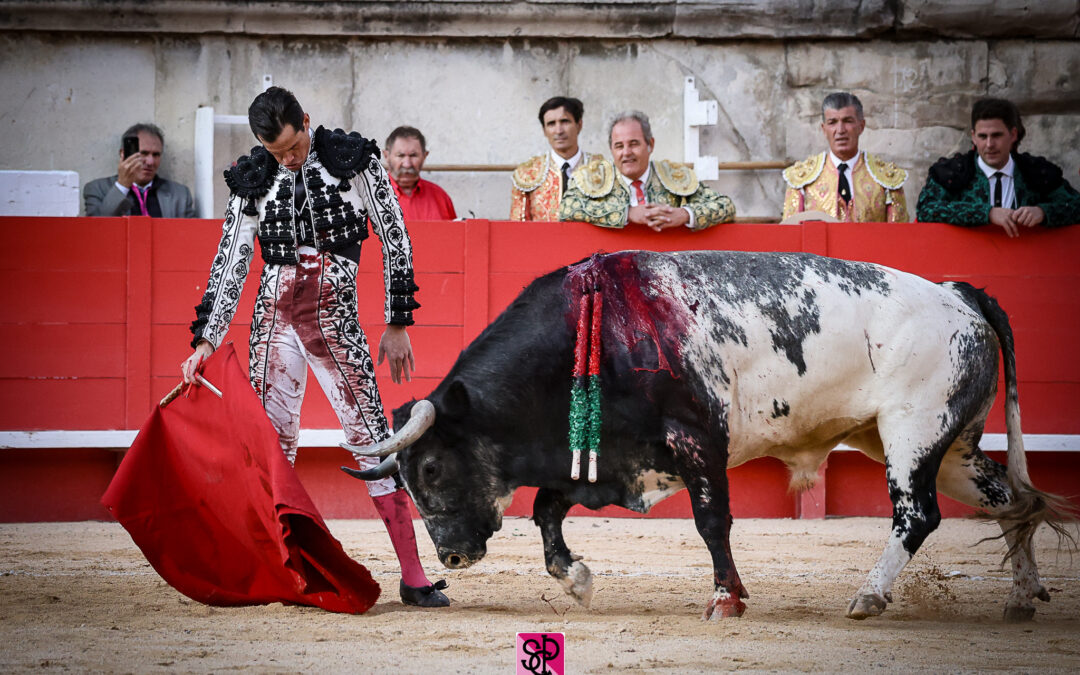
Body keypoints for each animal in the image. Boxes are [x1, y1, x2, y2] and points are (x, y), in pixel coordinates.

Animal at [341, 251, 1067, 622]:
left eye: (430, 469)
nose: (452, 557)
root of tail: (959, 294)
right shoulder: (608, 452)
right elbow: (547, 509)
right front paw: (577, 578)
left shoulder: (695, 442)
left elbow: (712, 520)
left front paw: (726, 598)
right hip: (949, 446)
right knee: (1011, 500)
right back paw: (1021, 598)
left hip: (912, 432)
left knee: (918, 515)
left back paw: (869, 595)